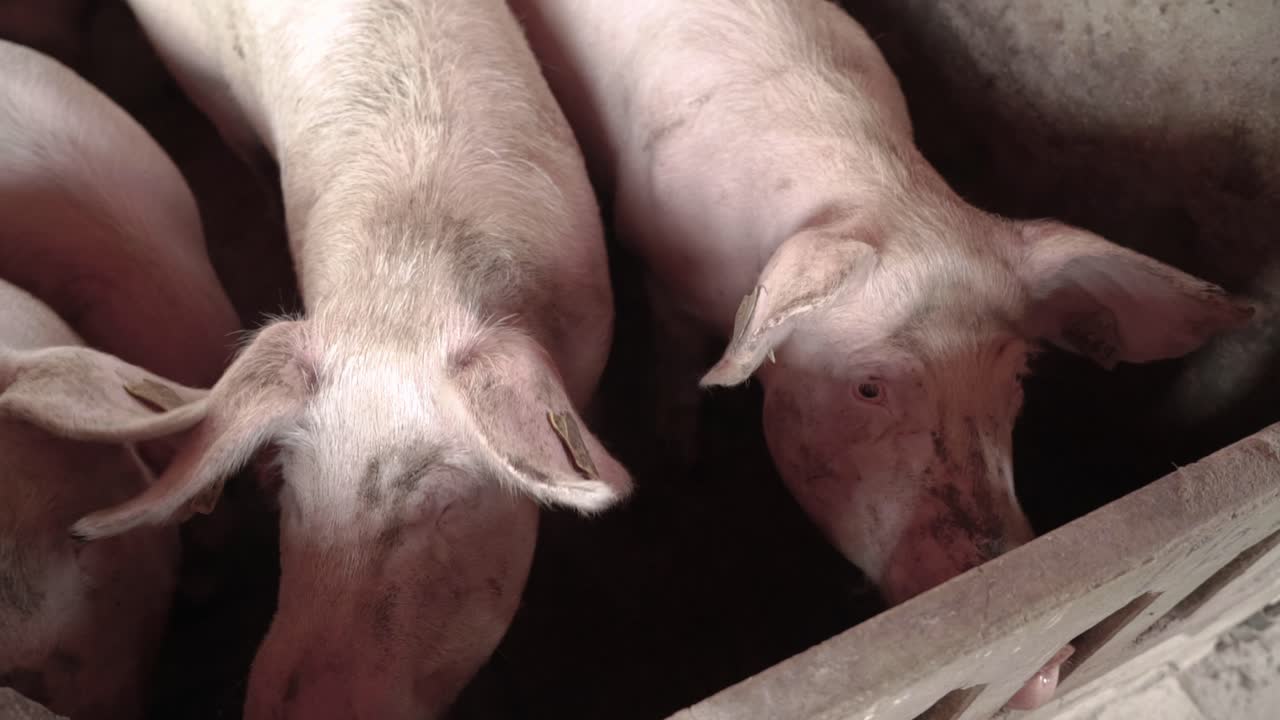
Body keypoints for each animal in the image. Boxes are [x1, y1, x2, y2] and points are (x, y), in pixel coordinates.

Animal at [512, 0, 1252, 709]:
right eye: (869, 386)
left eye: (1018, 378)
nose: (1045, 667)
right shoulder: (661, 273)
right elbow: (676, 378)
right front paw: (681, 460)